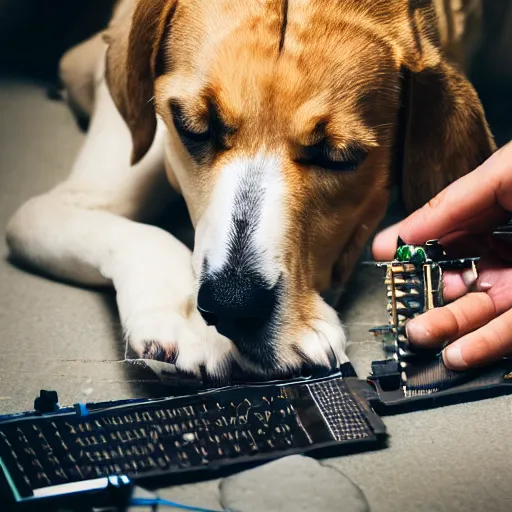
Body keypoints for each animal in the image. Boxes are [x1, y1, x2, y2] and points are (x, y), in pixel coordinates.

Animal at [5, 0, 496, 382]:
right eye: (191, 127)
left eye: (340, 158)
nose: (230, 306)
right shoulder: (58, 206)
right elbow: (139, 233)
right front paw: (185, 318)